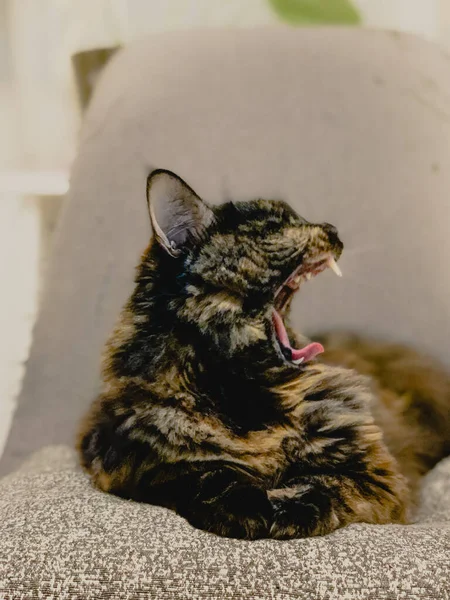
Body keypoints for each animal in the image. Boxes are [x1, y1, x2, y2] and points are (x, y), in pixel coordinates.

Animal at [77, 169, 450, 540]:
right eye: (274, 227)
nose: (333, 228)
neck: (247, 396)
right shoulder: (132, 457)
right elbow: (205, 475)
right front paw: (246, 507)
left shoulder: (374, 471)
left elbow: (326, 483)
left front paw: (292, 510)